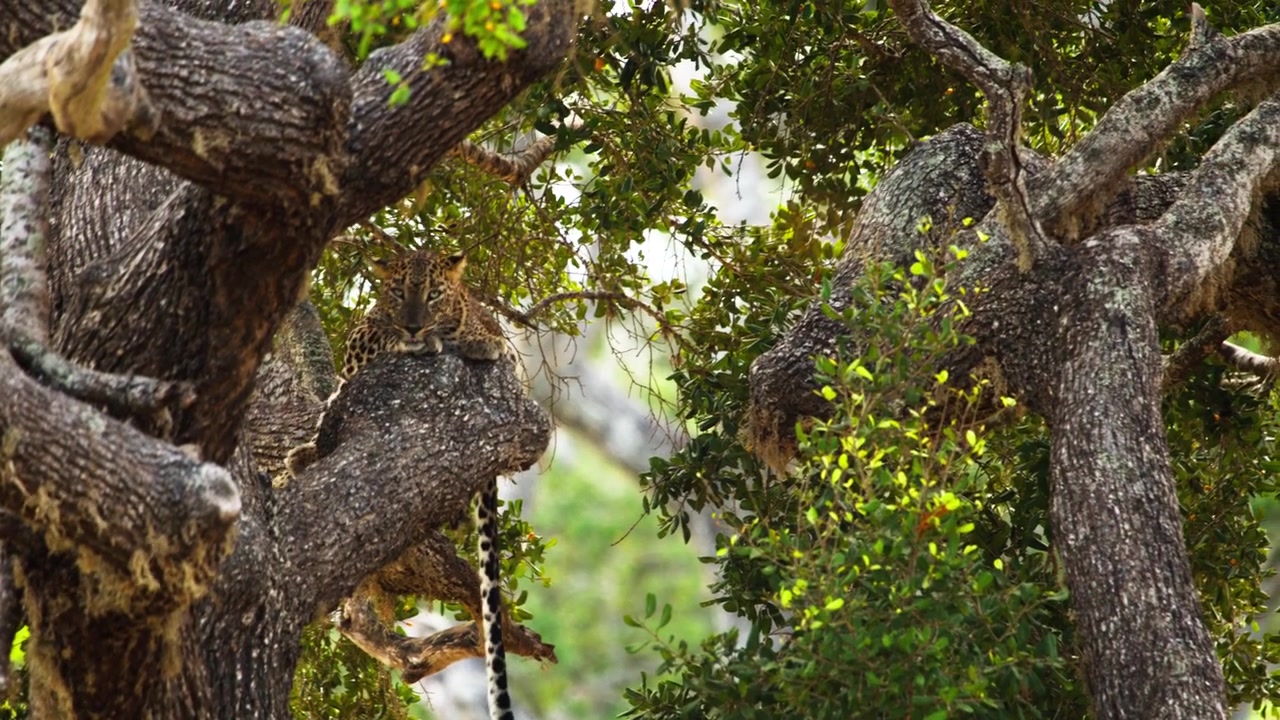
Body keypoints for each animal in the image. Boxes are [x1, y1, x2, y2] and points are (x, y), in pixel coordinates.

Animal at [285, 249, 514, 720]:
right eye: (397, 293)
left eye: (433, 295)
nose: (412, 325)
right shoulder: (364, 336)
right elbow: (382, 341)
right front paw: (414, 341)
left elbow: (484, 337)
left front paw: (481, 341)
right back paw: (303, 456)